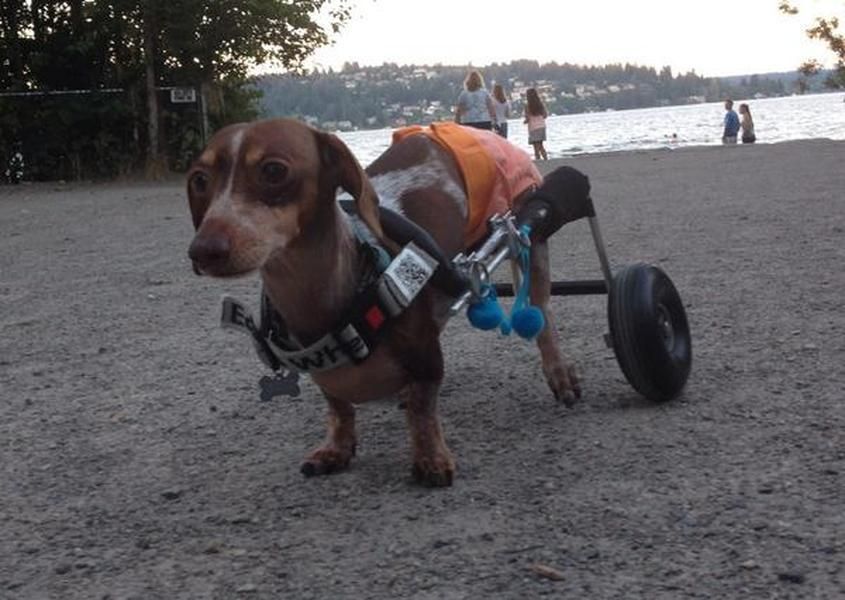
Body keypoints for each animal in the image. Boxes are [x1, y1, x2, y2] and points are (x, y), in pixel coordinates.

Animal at [186, 118, 580, 488]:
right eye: (199, 179)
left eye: (273, 170)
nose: (202, 251)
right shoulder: (328, 378)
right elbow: (339, 408)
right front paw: (336, 448)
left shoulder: (427, 360)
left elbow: (422, 408)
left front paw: (430, 458)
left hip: (527, 230)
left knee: (542, 312)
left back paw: (560, 373)